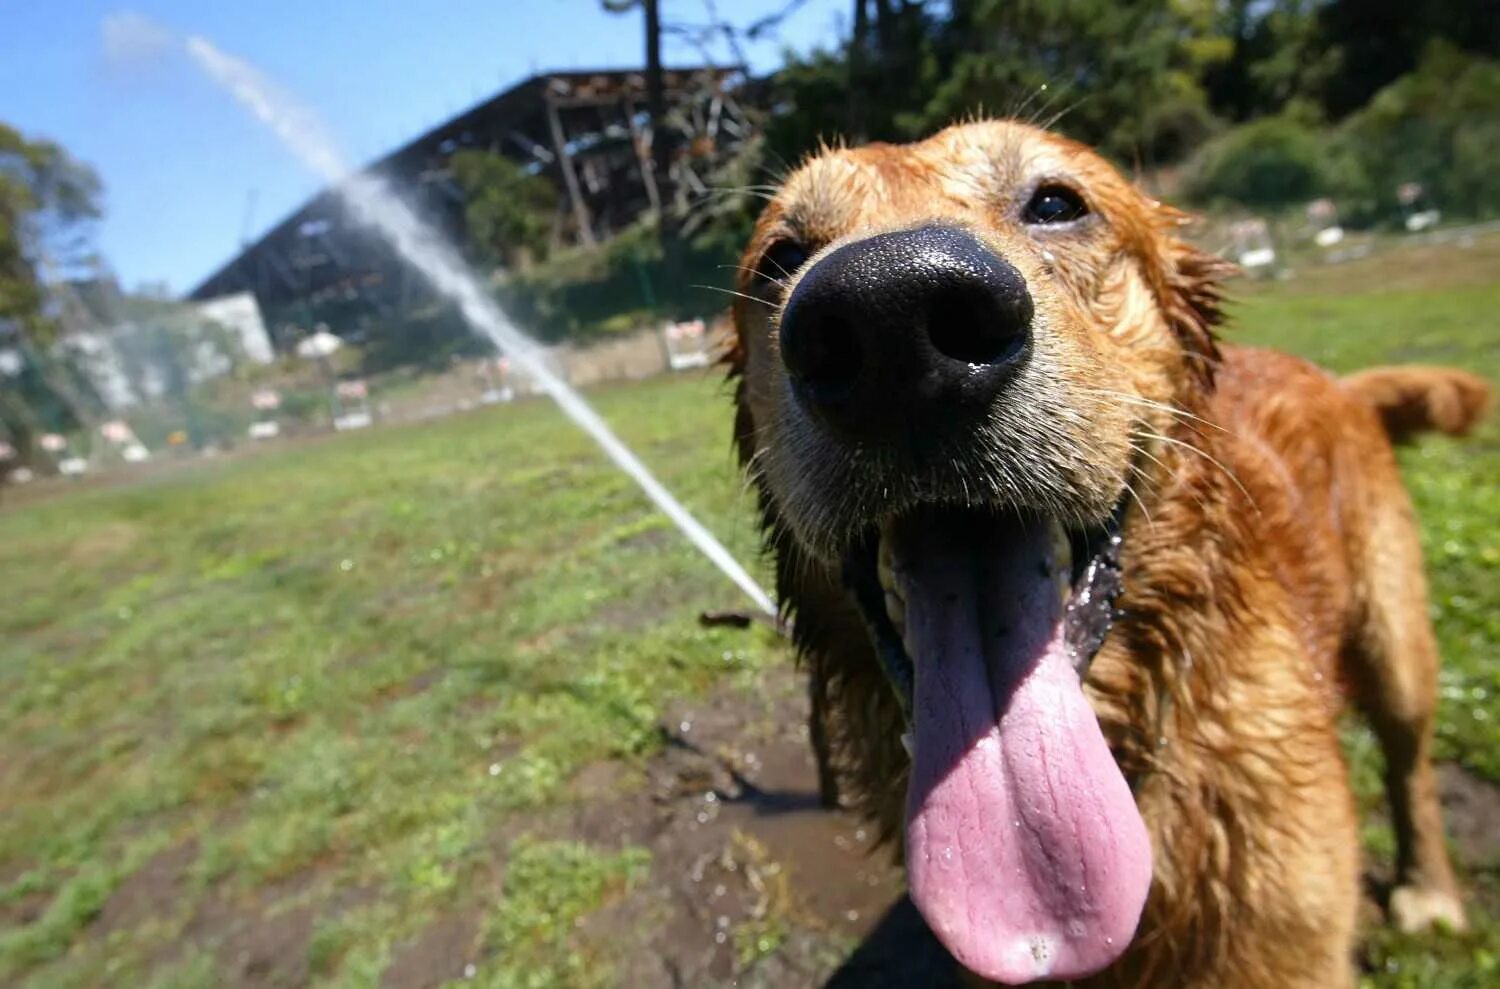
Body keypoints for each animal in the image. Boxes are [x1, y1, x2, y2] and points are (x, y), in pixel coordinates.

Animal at [723, 120, 1488, 984]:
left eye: (1056, 204)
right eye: (781, 256)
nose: (891, 314)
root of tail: (1338, 381)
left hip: (1398, 646)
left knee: (1410, 764)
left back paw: (1429, 889)